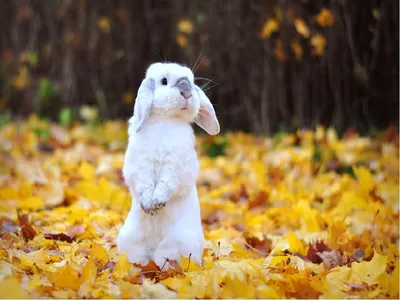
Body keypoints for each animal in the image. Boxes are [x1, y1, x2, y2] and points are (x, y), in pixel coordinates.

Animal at [117, 62, 220, 268]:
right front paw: (149, 206)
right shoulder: (140, 166)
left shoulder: (176, 168)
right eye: (164, 81)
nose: (187, 92)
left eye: (192, 81)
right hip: (130, 243)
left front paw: (157, 203)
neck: (165, 120)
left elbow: (167, 184)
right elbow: (144, 184)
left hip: (176, 246)